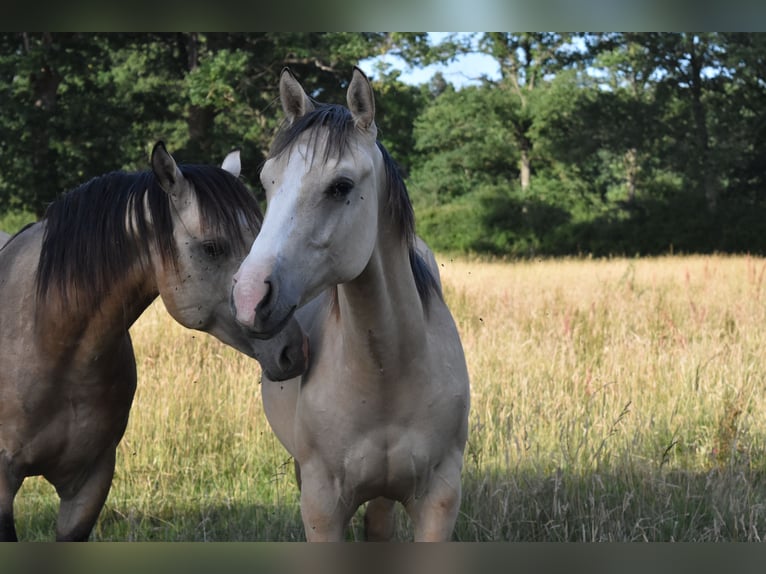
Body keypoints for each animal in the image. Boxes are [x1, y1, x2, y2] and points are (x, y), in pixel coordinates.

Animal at [231, 68, 470, 541]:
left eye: (340, 186)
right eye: (268, 181)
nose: (248, 297)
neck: (387, 374)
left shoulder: (439, 501)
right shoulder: (321, 508)